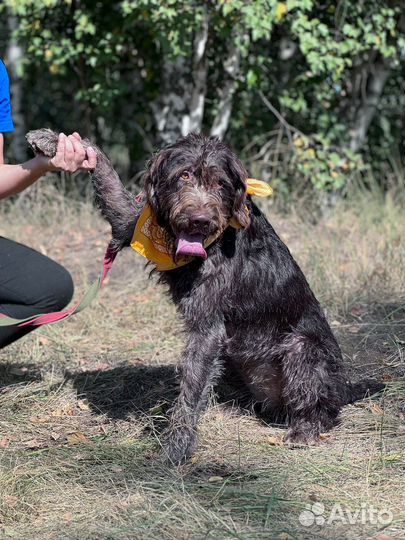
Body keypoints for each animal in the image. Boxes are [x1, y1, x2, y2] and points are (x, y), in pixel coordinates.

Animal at [26, 130, 380, 464]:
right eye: (184, 175)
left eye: (220, 183)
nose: (200, 220)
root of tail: (345, 389)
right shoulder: (131, 221)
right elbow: (106, 172)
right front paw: (55, 141)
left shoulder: (208, 328)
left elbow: (191, 392)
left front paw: (176, 449)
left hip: (302, 349)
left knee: (322, 407)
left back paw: (306, 429)